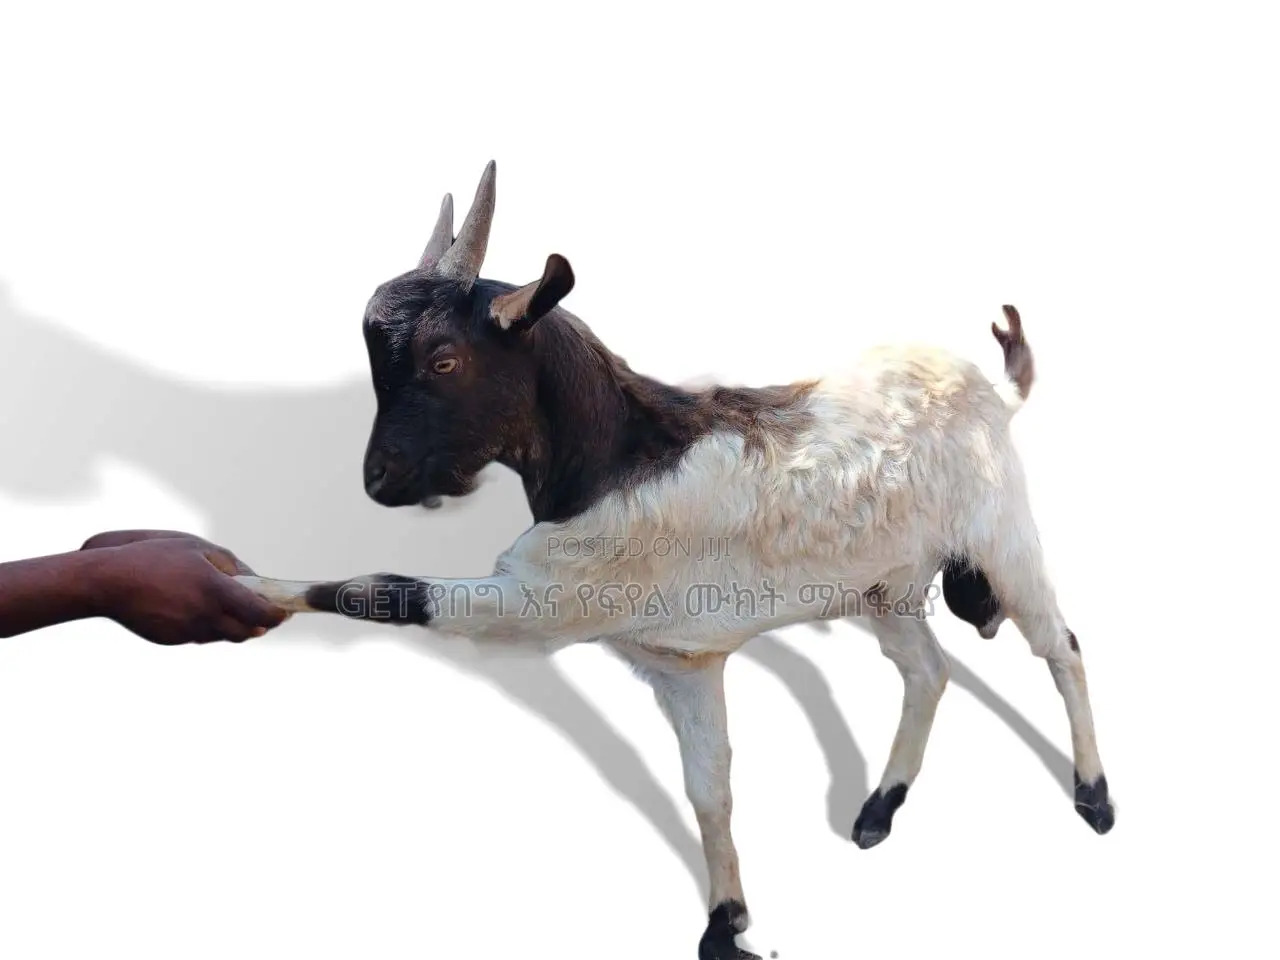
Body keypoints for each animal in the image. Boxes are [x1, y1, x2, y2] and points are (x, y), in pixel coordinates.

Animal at [237, 162, 1113, 960]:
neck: (616, 456)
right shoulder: (677, 659)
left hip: (1003, 538)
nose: (379, 480)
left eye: (444, 360)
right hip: (885, 583)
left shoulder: (552, 604)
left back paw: (1095, 798)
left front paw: (249, 583)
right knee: (928, 671)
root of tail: (997, 392)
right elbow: (708, 790)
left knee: (1059, 645)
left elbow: (382, 589)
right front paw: (728, 923)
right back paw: (877, 811)